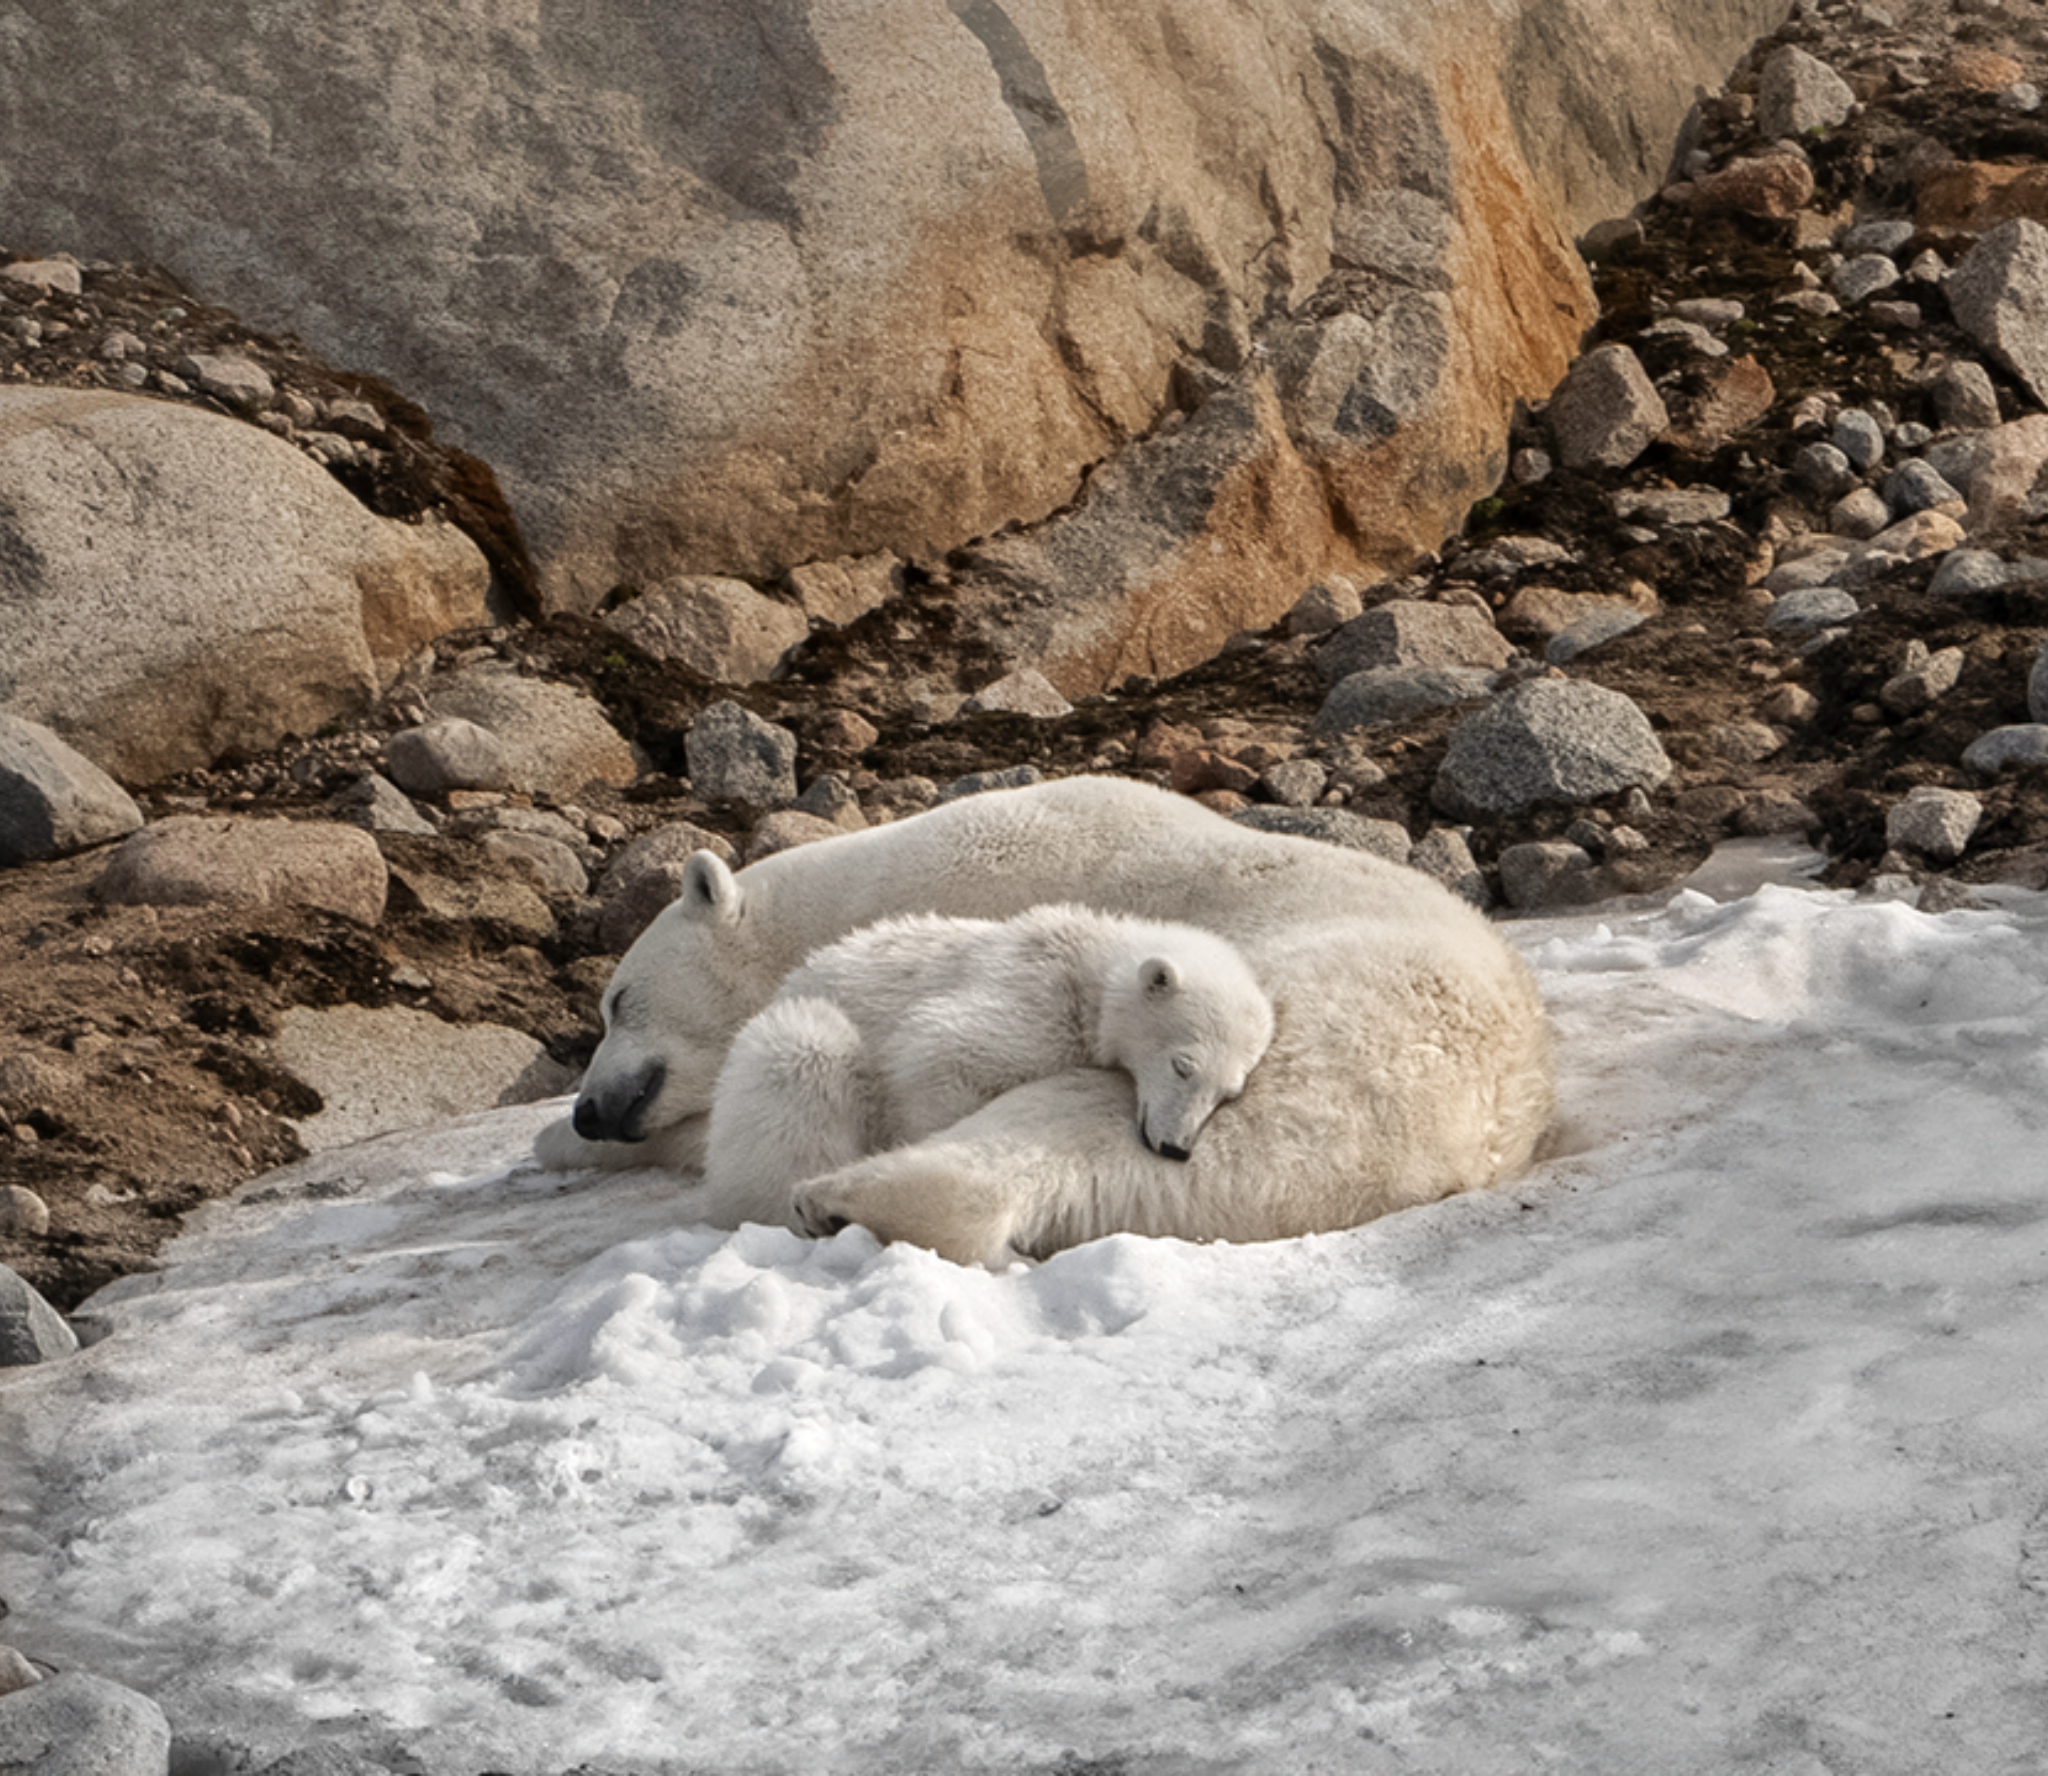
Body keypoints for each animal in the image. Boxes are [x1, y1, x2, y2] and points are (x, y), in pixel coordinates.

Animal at [697, 904, 1276, 1231]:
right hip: (788, 1044)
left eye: (1229, 1092)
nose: (1177, 1148)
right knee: (807, 1055)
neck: (1086, 972)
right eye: (1183, 1066)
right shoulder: (1030, 1001)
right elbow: (937, 1053)